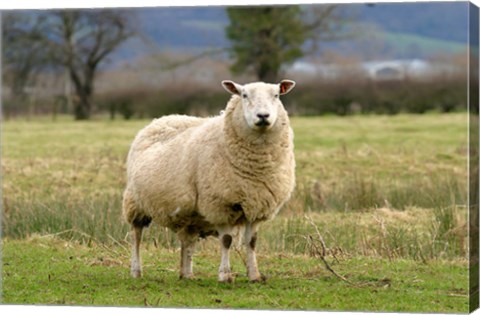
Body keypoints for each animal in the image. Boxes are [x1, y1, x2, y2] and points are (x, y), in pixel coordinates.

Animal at [123, 79, 296, 284]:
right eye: (244, 95)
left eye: (276, 95)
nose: (263, 116)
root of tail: (161, 119)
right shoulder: (220, 204)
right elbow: (227, 240)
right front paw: (225, 275)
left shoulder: (257, 206)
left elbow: (252, 242)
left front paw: (254, 275)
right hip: (136, 203)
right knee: (136, 236)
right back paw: (136, 270)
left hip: (189, 214)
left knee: (187, 241)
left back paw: (186, 273)